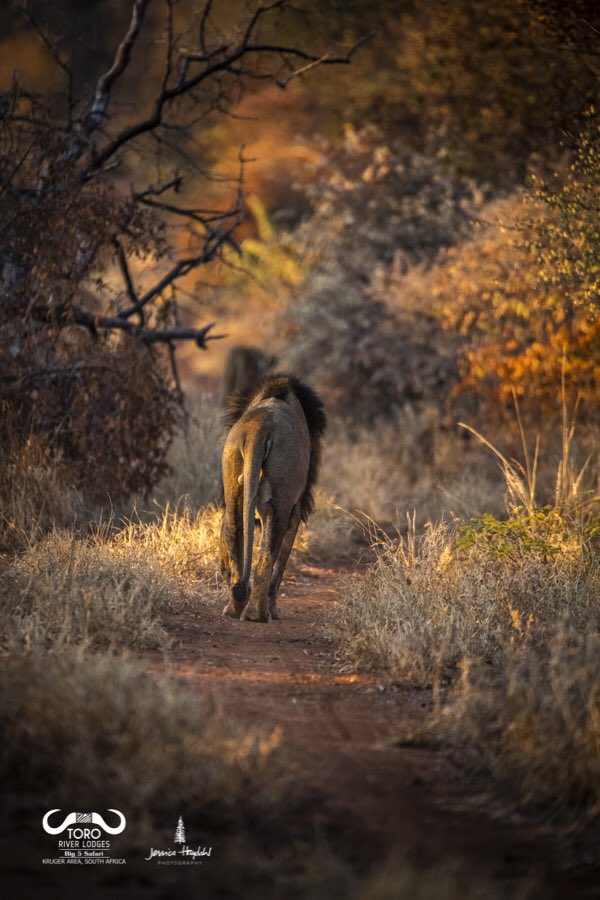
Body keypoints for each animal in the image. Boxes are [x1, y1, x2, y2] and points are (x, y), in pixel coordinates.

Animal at [220, 374, 326, 622]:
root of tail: (260, 426)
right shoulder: (296, 508)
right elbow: (282, 561)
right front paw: (275, 610)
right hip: (281, 501)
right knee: (267, 557)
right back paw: (258, 614)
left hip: (233, 479)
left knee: (234, 531)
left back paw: (234, 607)